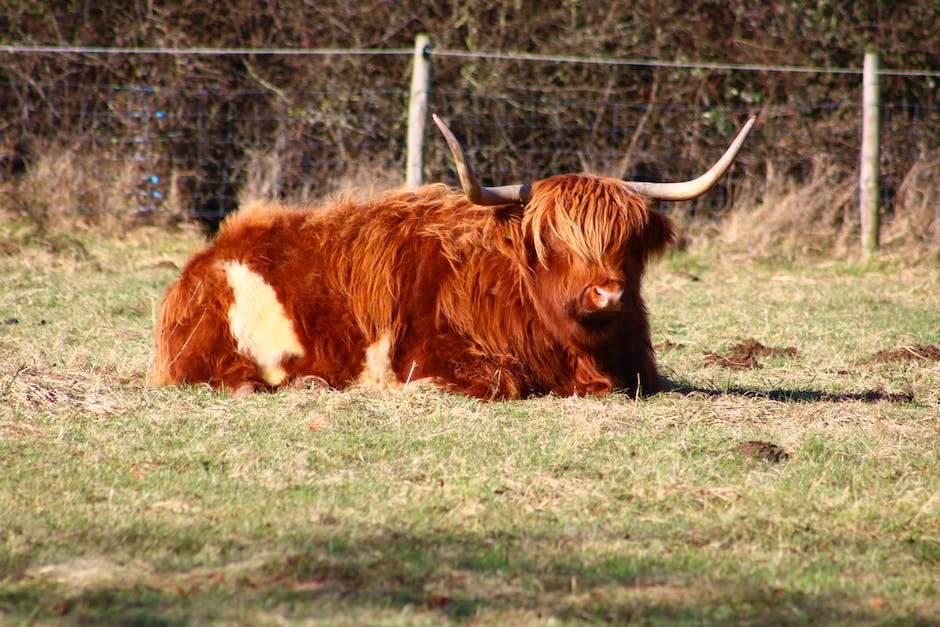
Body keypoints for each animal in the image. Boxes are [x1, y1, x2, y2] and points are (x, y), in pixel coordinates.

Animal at [149, 114, 756, 398]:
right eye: (552, 242)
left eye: (625, 242)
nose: (607, 292)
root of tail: (203, 259)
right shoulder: (427, 355)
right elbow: (501, 383)